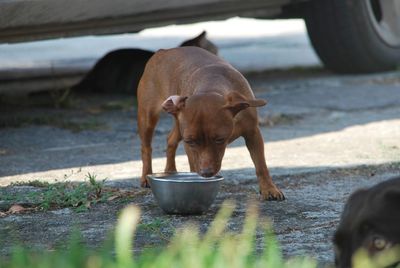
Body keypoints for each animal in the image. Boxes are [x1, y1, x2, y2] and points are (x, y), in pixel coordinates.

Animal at [138, 46, 284, 201]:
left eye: (220, 139)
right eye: (190, 141)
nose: (206, 173)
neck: (211, 85)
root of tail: (163, 51)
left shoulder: (253, 134)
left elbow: (261, 165)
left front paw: (269, 188)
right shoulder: (188, 144)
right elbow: (193, 165)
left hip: (178, 123)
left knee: (170, 139)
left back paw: (170, 170)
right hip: (148, 118)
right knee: (146, 148)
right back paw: (146, 176)